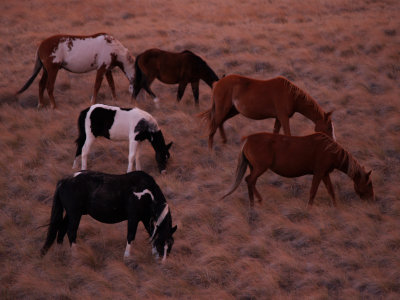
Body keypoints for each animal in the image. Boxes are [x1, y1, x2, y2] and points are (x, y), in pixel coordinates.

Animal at [41, 170, 177, 262]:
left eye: (170, 245)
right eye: (161, 243)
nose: (163, 262)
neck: (147, 192)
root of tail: (64, 180)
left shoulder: (145, 218)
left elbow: (151, 233)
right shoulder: (133, 217)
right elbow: (131, 236)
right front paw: (127, 257)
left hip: (71, 214)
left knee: (61, 230)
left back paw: (60, 254)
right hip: (74, 214)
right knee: (71, 232)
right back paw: (75, 255)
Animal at [202, 74, 336, 149]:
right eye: (329, 127)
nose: (333, 143)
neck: (291, 95)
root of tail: (217, 83)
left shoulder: (278, 118)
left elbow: (275, 132)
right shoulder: (283, 117)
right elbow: (288, 134)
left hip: (231, 111)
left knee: (219, 123)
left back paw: (224, 143)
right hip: (223, 109)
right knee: (214, 125)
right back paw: (211, 150)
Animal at [222, 133, 376, 209]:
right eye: (369, 184)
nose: (371, 200)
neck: (330, 150)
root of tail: (247, 140)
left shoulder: (324, 174)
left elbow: (331, 191)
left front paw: (336, 207)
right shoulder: (319, 173)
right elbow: (313, 191)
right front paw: (309, 208)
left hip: (254, 167)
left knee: (251, 182)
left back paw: (257, 202)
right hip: (260, 168)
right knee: (250, 180)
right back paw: (254, 203)